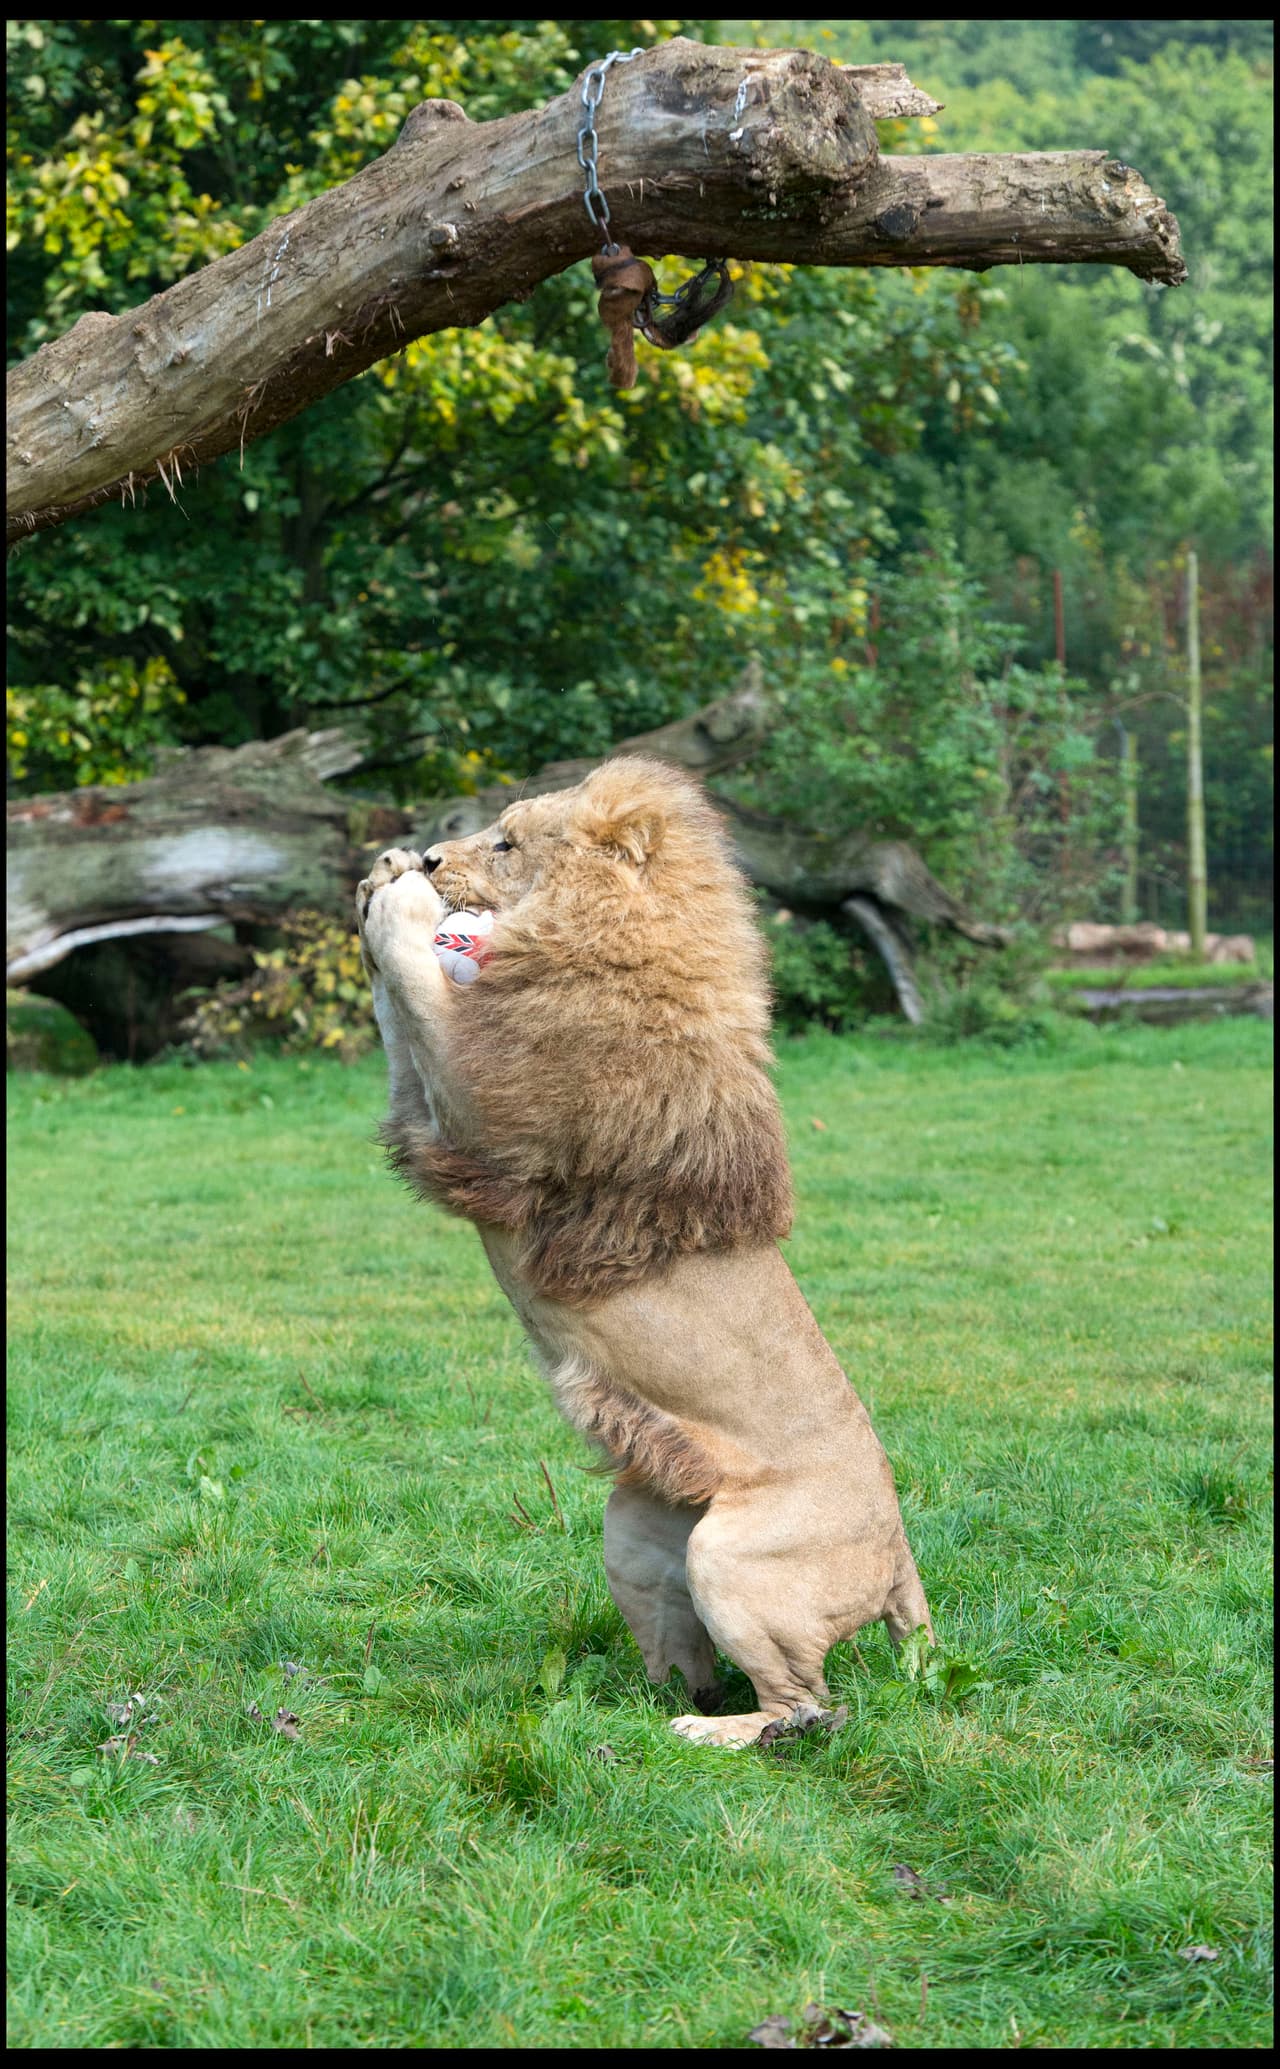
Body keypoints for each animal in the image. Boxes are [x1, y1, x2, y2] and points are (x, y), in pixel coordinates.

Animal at [357, 755, 931, 1746]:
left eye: (505, 842)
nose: (429, 855)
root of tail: (900, 1554)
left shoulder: (488, 1107)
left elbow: (421, 993)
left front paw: (399, 897)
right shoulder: (434, 1108)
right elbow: (401, 1022)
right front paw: (382, 878)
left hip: (737, 1559)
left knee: (808, 1708)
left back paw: (706, 1735)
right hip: (636, 1533)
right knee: (693, 1666)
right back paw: (614, 1709)